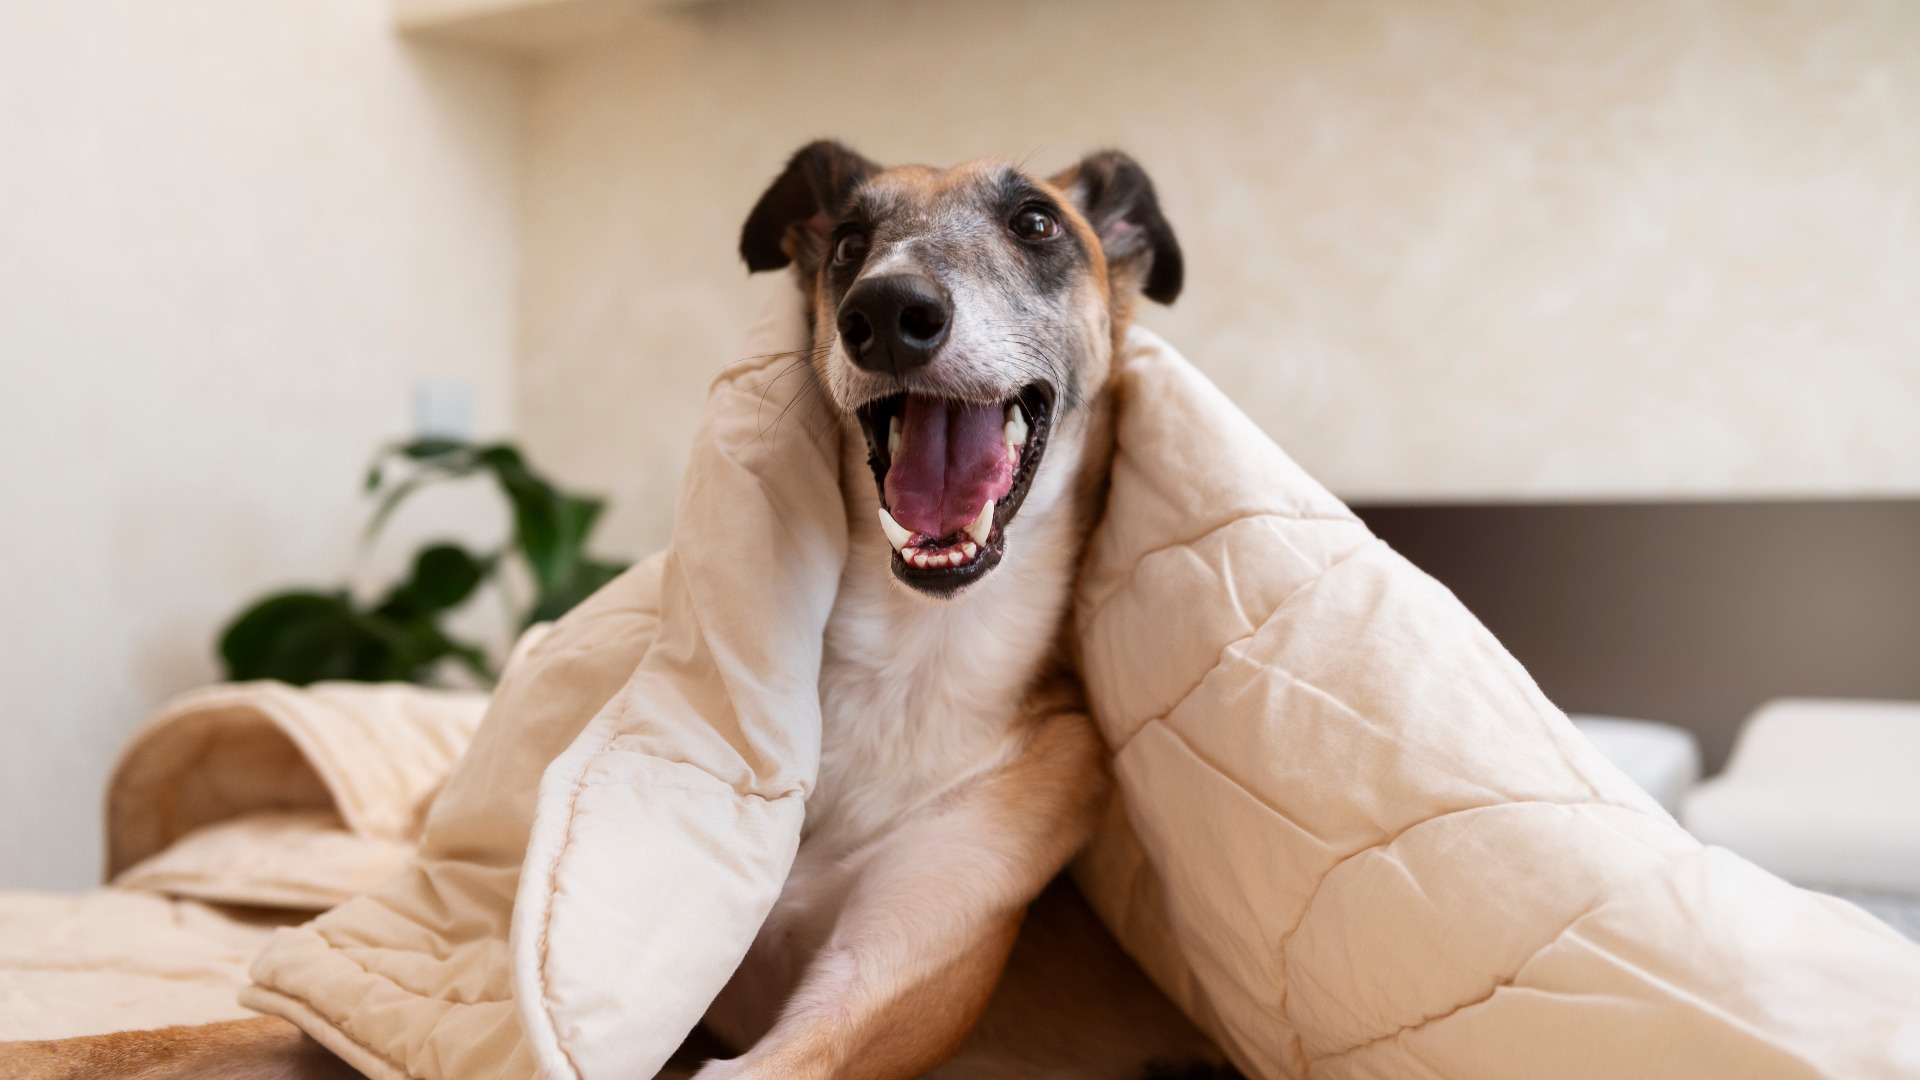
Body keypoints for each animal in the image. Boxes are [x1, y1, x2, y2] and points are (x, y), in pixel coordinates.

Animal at [4, 142, 1229, 1080]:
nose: (889, 312)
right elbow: (157, 1037)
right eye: (847, 242)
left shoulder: (867, 995)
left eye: (1037, 221)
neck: (907, 660)